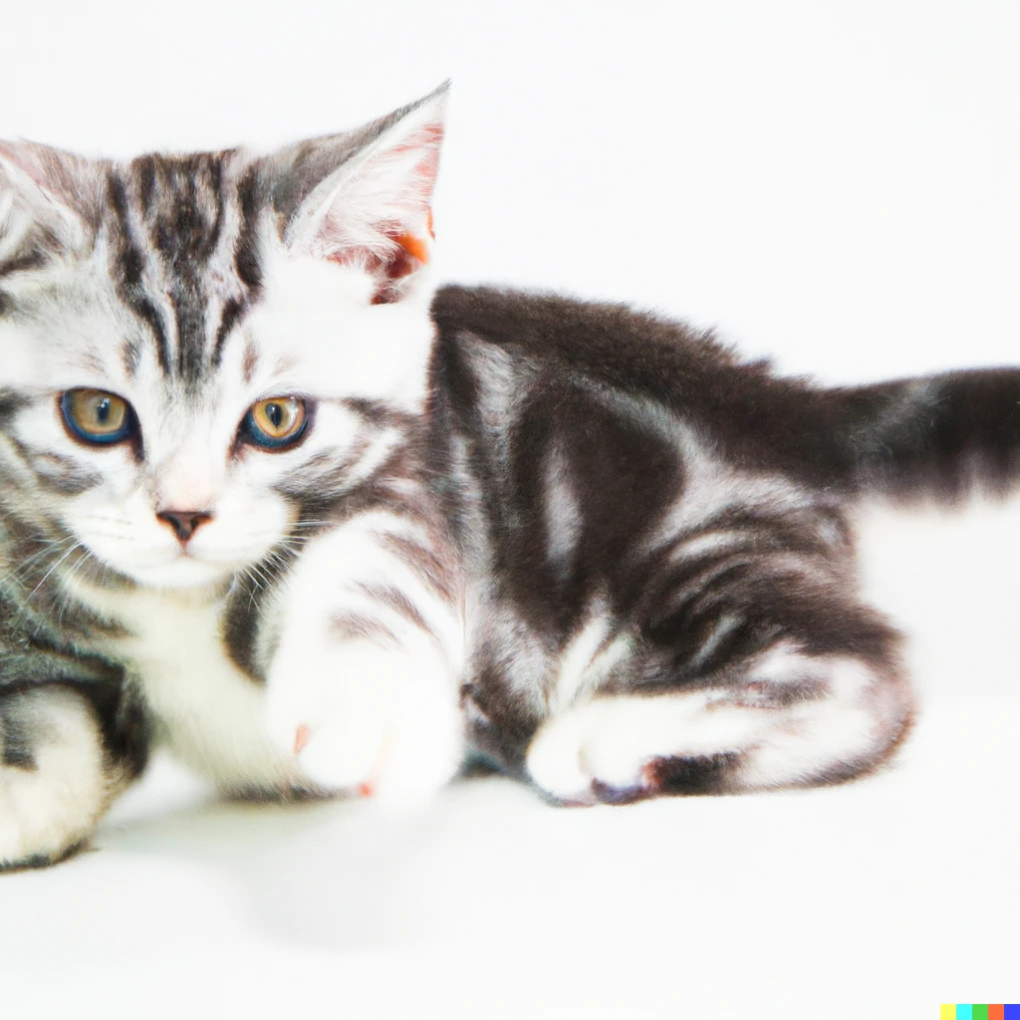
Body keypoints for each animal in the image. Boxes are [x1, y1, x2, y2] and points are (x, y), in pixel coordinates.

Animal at [1, 85, 1020, 869]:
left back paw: (606, 739)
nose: (183, 516)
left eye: (277, 420)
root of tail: (765, 394)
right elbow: (43, 721)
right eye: (98, 416)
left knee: (862, 667)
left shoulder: (404, 500)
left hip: (673, 542)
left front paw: (360, 705)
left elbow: (366, 586)